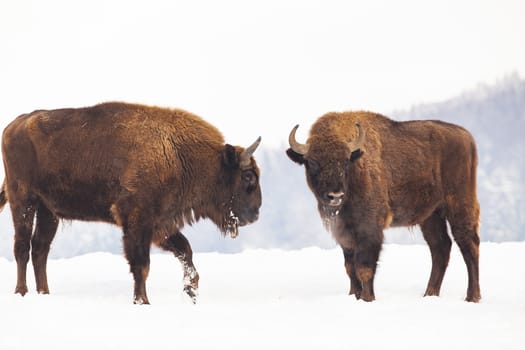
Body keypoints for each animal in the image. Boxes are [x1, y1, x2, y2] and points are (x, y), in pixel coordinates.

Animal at [0, 101, 262, 304]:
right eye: (248, 176)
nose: (256, 213)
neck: (180, 154)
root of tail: (14, 125)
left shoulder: (160, 224)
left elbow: (184, 250)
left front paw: (191, 291)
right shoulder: (138, 221)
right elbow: (142, 265)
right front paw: (143, 301)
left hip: (48, 211)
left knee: (40, 249)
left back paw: (44, 293)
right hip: (23, 201)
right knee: (22, 247)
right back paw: (22, 292)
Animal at [286, 111, 478, 300]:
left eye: (345, 161)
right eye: (312, 162)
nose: (335, 196)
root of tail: (466, 136)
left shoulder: (369, 230)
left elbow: (364, 269)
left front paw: (368, 298)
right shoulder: (344, 235)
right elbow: (350, 268)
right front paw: (354, 295)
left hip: (459, 204)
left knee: (469, 244)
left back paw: (472, 297)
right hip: (431, 215)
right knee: (440, 247)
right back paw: (430, 294)